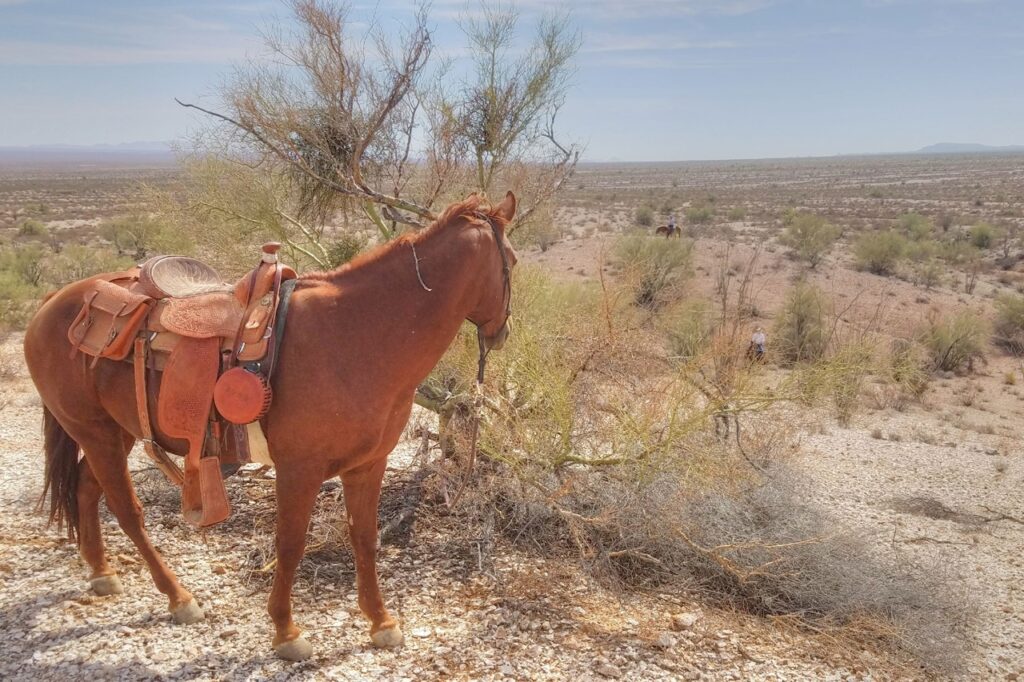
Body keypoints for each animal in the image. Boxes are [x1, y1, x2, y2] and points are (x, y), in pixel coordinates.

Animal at [23, 191, 518, 661]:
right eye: (512, 261)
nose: (501, 334)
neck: (355, 337)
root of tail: (52, 303)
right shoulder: (300, 469)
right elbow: (291, 543)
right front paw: (286, 631)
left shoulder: (368, 464)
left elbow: (365, 539)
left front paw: (381, 623)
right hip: (96, 433)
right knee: (127, 510)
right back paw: (178, 598)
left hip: (115, 432)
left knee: (85, 488)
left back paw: (102, 572)